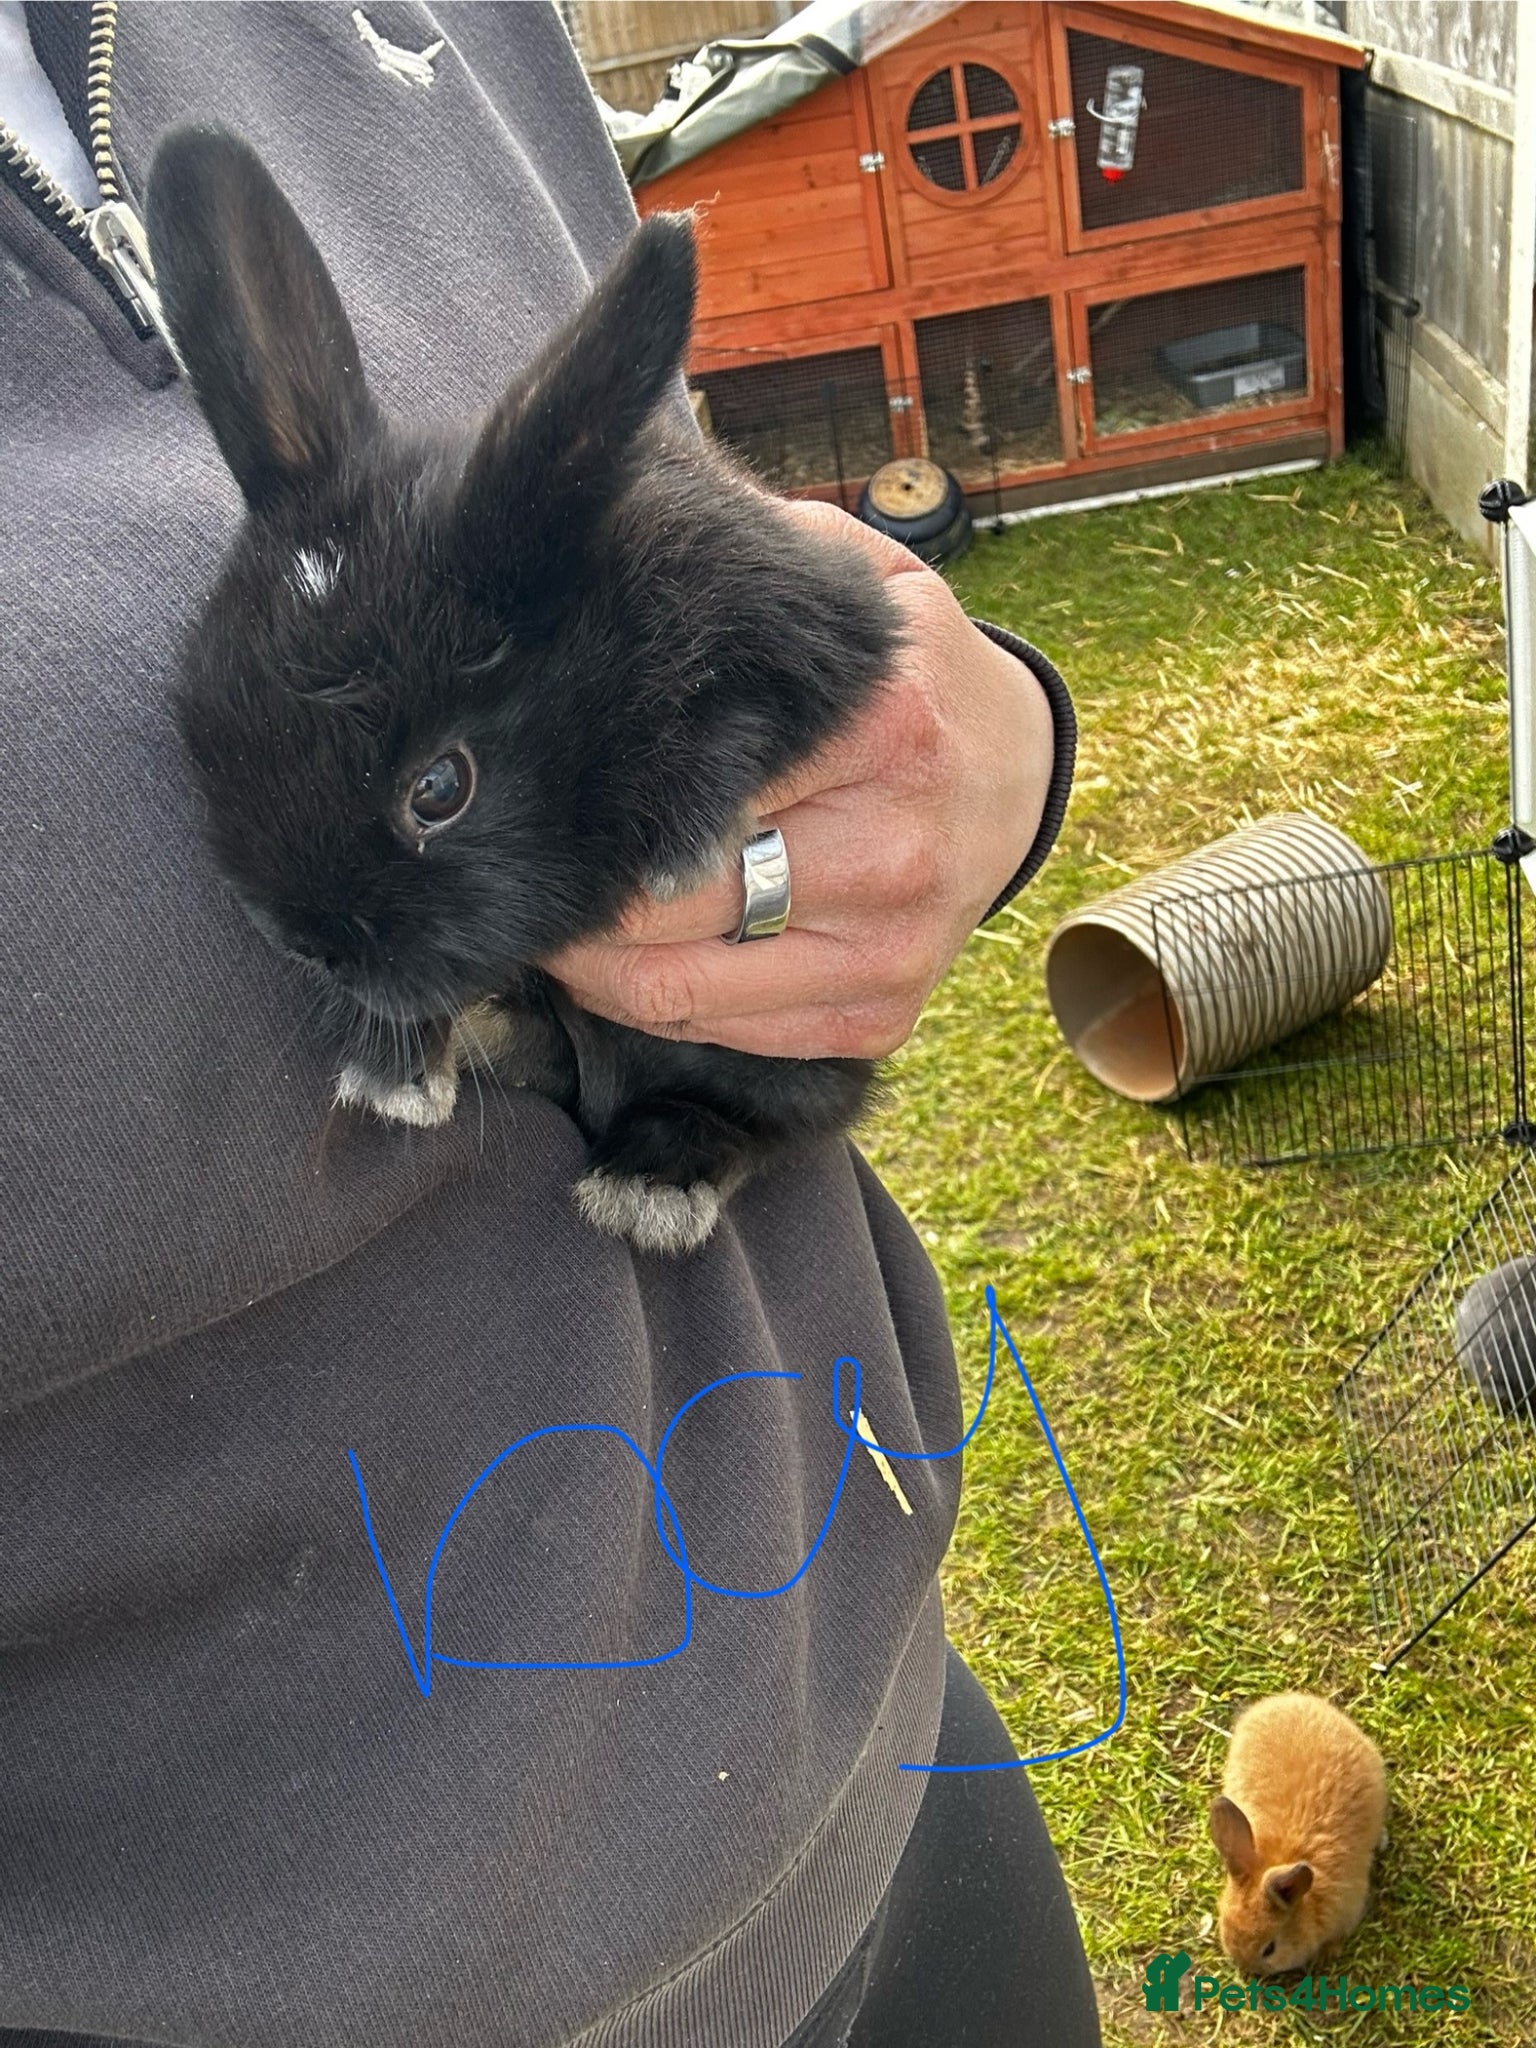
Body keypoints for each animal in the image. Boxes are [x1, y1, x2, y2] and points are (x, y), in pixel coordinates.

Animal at [143, 123, 902, 1256]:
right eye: (204, 737)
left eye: (439, 789)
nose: (312, 944)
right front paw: (394, 1071)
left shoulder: (802, 632)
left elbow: (736, 713)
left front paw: (685, 849)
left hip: (795, 1062)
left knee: (751, 1121)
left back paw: (650, 1181)